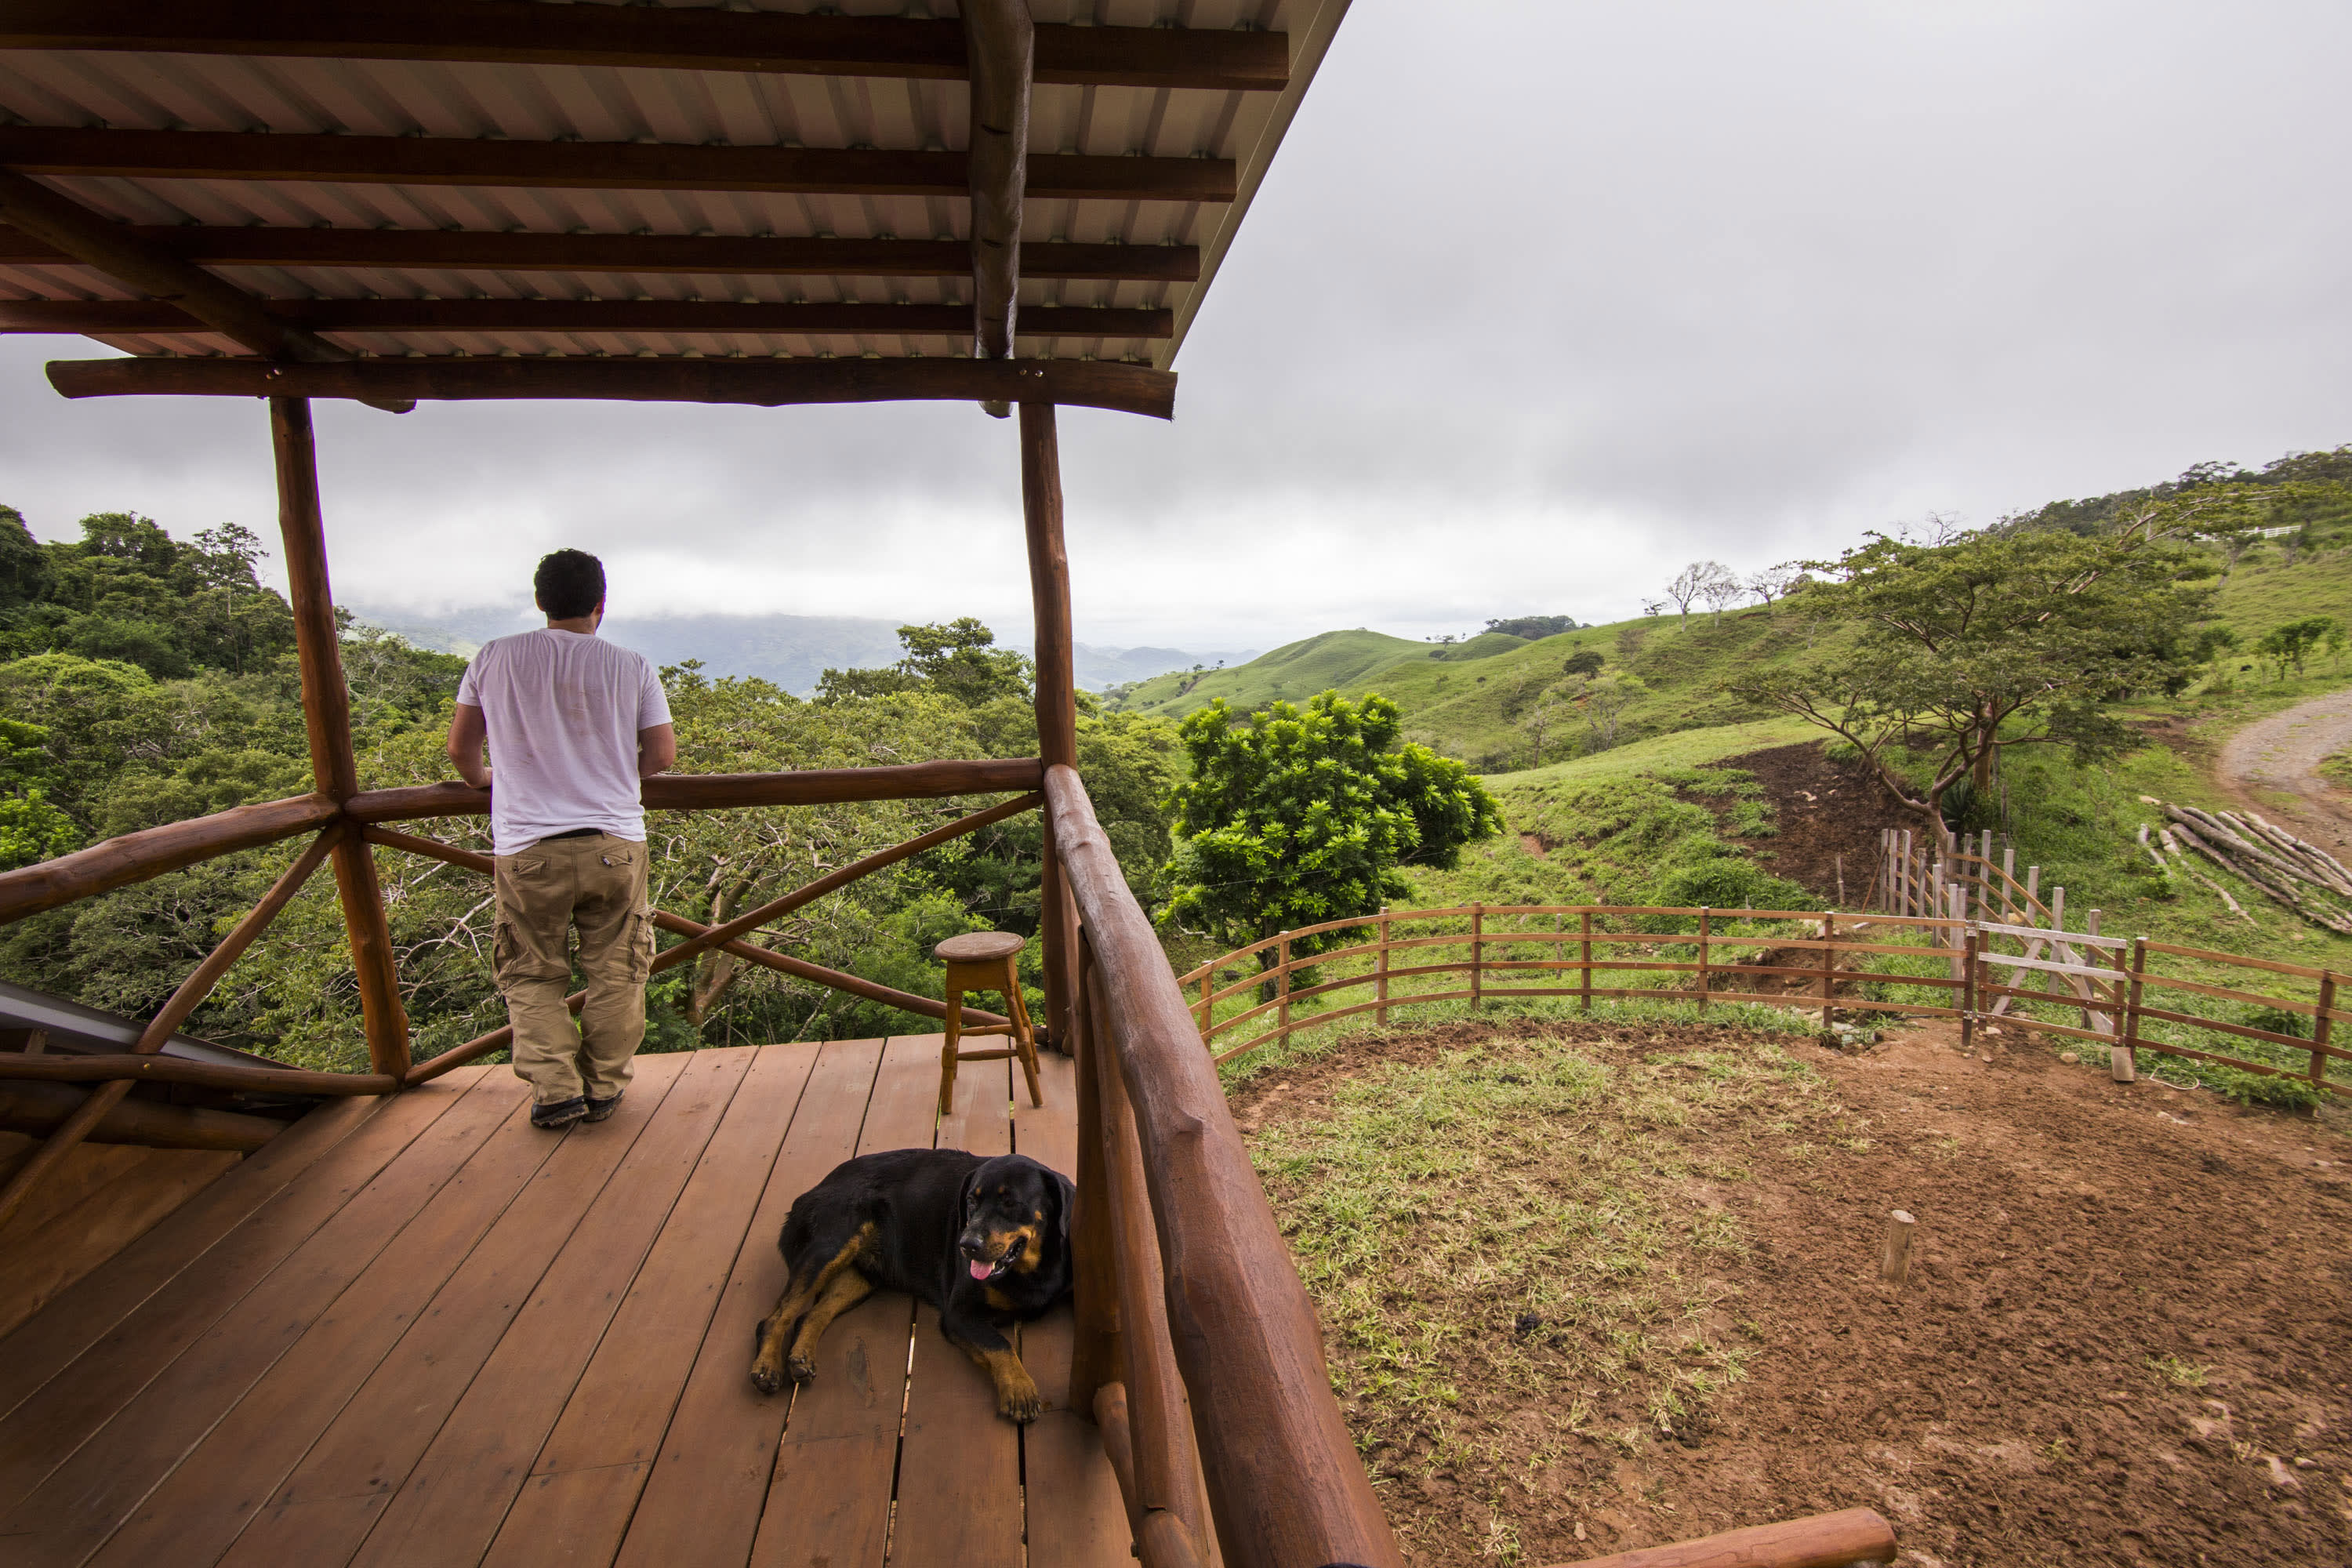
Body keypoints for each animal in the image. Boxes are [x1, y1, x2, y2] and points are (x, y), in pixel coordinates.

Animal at [753, 1147, 1077, 1429]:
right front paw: (1020, 1388)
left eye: (1011, 1203)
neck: (1031, 1270)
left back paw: (801, 1358)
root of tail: (808, 1194)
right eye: (971, 1201)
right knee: (776, 1317)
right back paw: (767, 1367)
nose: (966, 1245)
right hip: (830, 1245)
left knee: (812, 1314)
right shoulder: (958, 1315)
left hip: (860, 1277)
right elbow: (999, 1344)